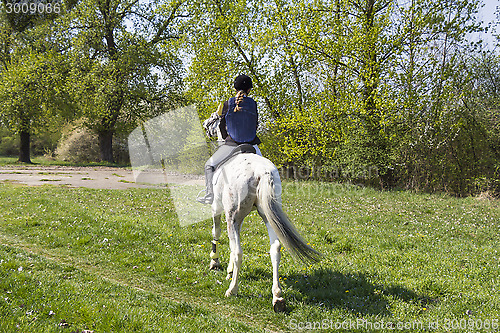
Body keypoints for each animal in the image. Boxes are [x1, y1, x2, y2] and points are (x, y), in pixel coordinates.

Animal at [207, 151, 320, 312]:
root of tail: (261, 171)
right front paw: (229, 269)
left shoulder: (217, 208)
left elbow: (216, 233)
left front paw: (215, 262)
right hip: (269, 216)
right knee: (275, 249)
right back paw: (277, 297)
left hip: (233, 216)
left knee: (238, 251)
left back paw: (232, 289)